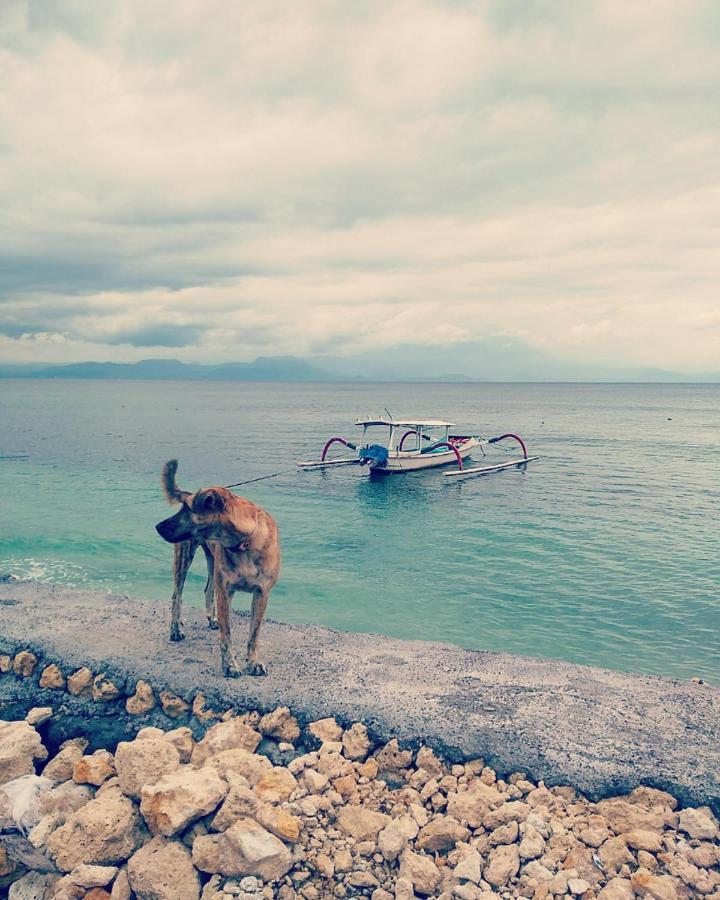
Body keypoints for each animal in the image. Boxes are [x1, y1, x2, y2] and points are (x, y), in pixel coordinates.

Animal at [156, 460, 280, 680]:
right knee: (176, 596)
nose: (158, 526)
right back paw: (175, 630)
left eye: (187, 509)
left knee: (207, 588)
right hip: (184, 557)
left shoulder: (261, 593)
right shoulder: (225, 591)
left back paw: (211, 619)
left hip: (212, 560)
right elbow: (227, 634)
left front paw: (253, 663)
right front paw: (230, 665)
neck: (245, 542)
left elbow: (254, 634)